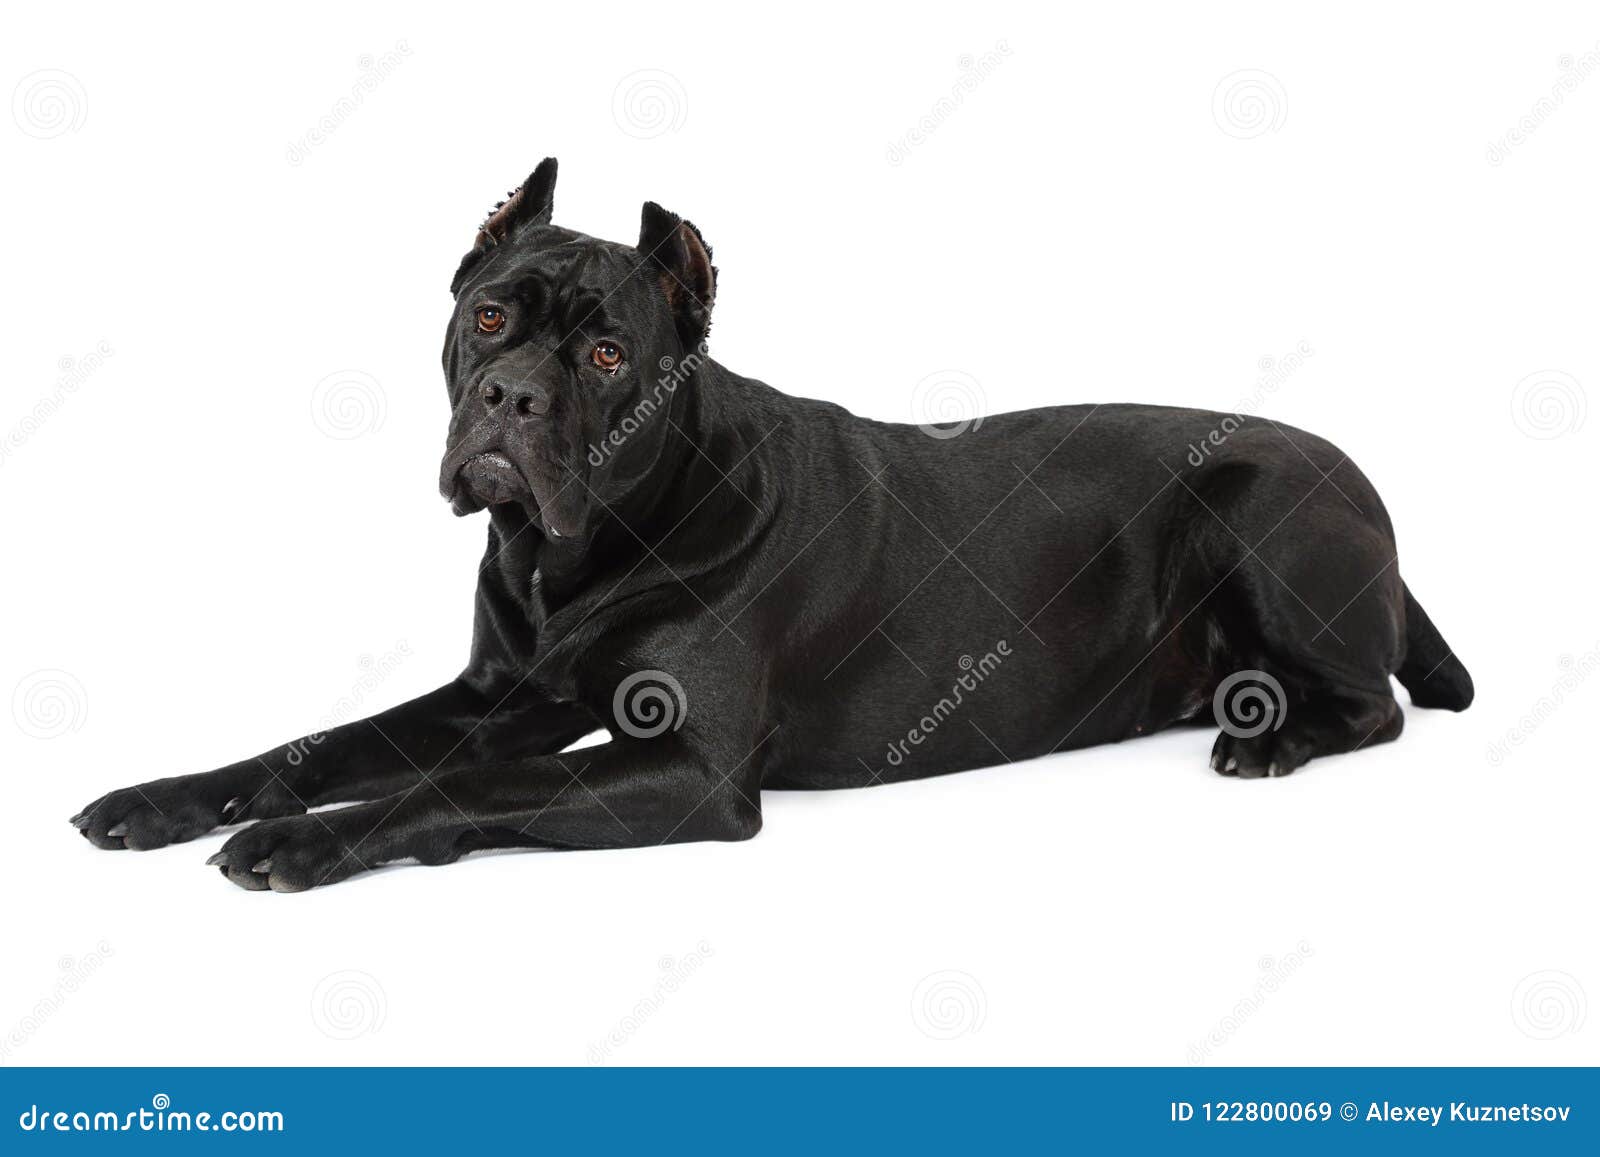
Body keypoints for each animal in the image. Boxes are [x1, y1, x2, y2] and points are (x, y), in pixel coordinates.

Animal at [75, 158, 1472, 889]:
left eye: (603, 353)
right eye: (489, 315)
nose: (510, 398)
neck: (576, 549)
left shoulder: (684, 766)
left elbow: (456, 783)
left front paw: (301, 841)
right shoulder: (494, 691)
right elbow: (320, 743)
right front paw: (163, 797)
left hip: (1255, 502)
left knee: (1376, 704)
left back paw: (1269, 739)